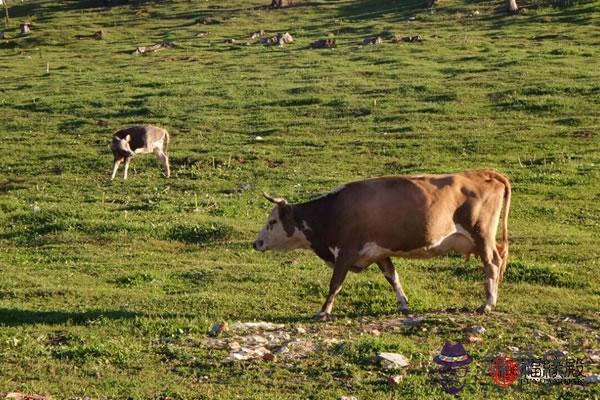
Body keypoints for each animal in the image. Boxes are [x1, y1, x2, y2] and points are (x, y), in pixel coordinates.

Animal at [253, 170, 510, 320]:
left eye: (272, 221)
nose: (256, 243)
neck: (333, 212)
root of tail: (484, 174)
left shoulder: (345, 253)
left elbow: (335, 284)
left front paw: (323, 311)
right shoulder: (378, 252)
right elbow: (392, 276)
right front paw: (404, 304)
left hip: (482, 236)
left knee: (492, 265)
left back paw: (488, 303)